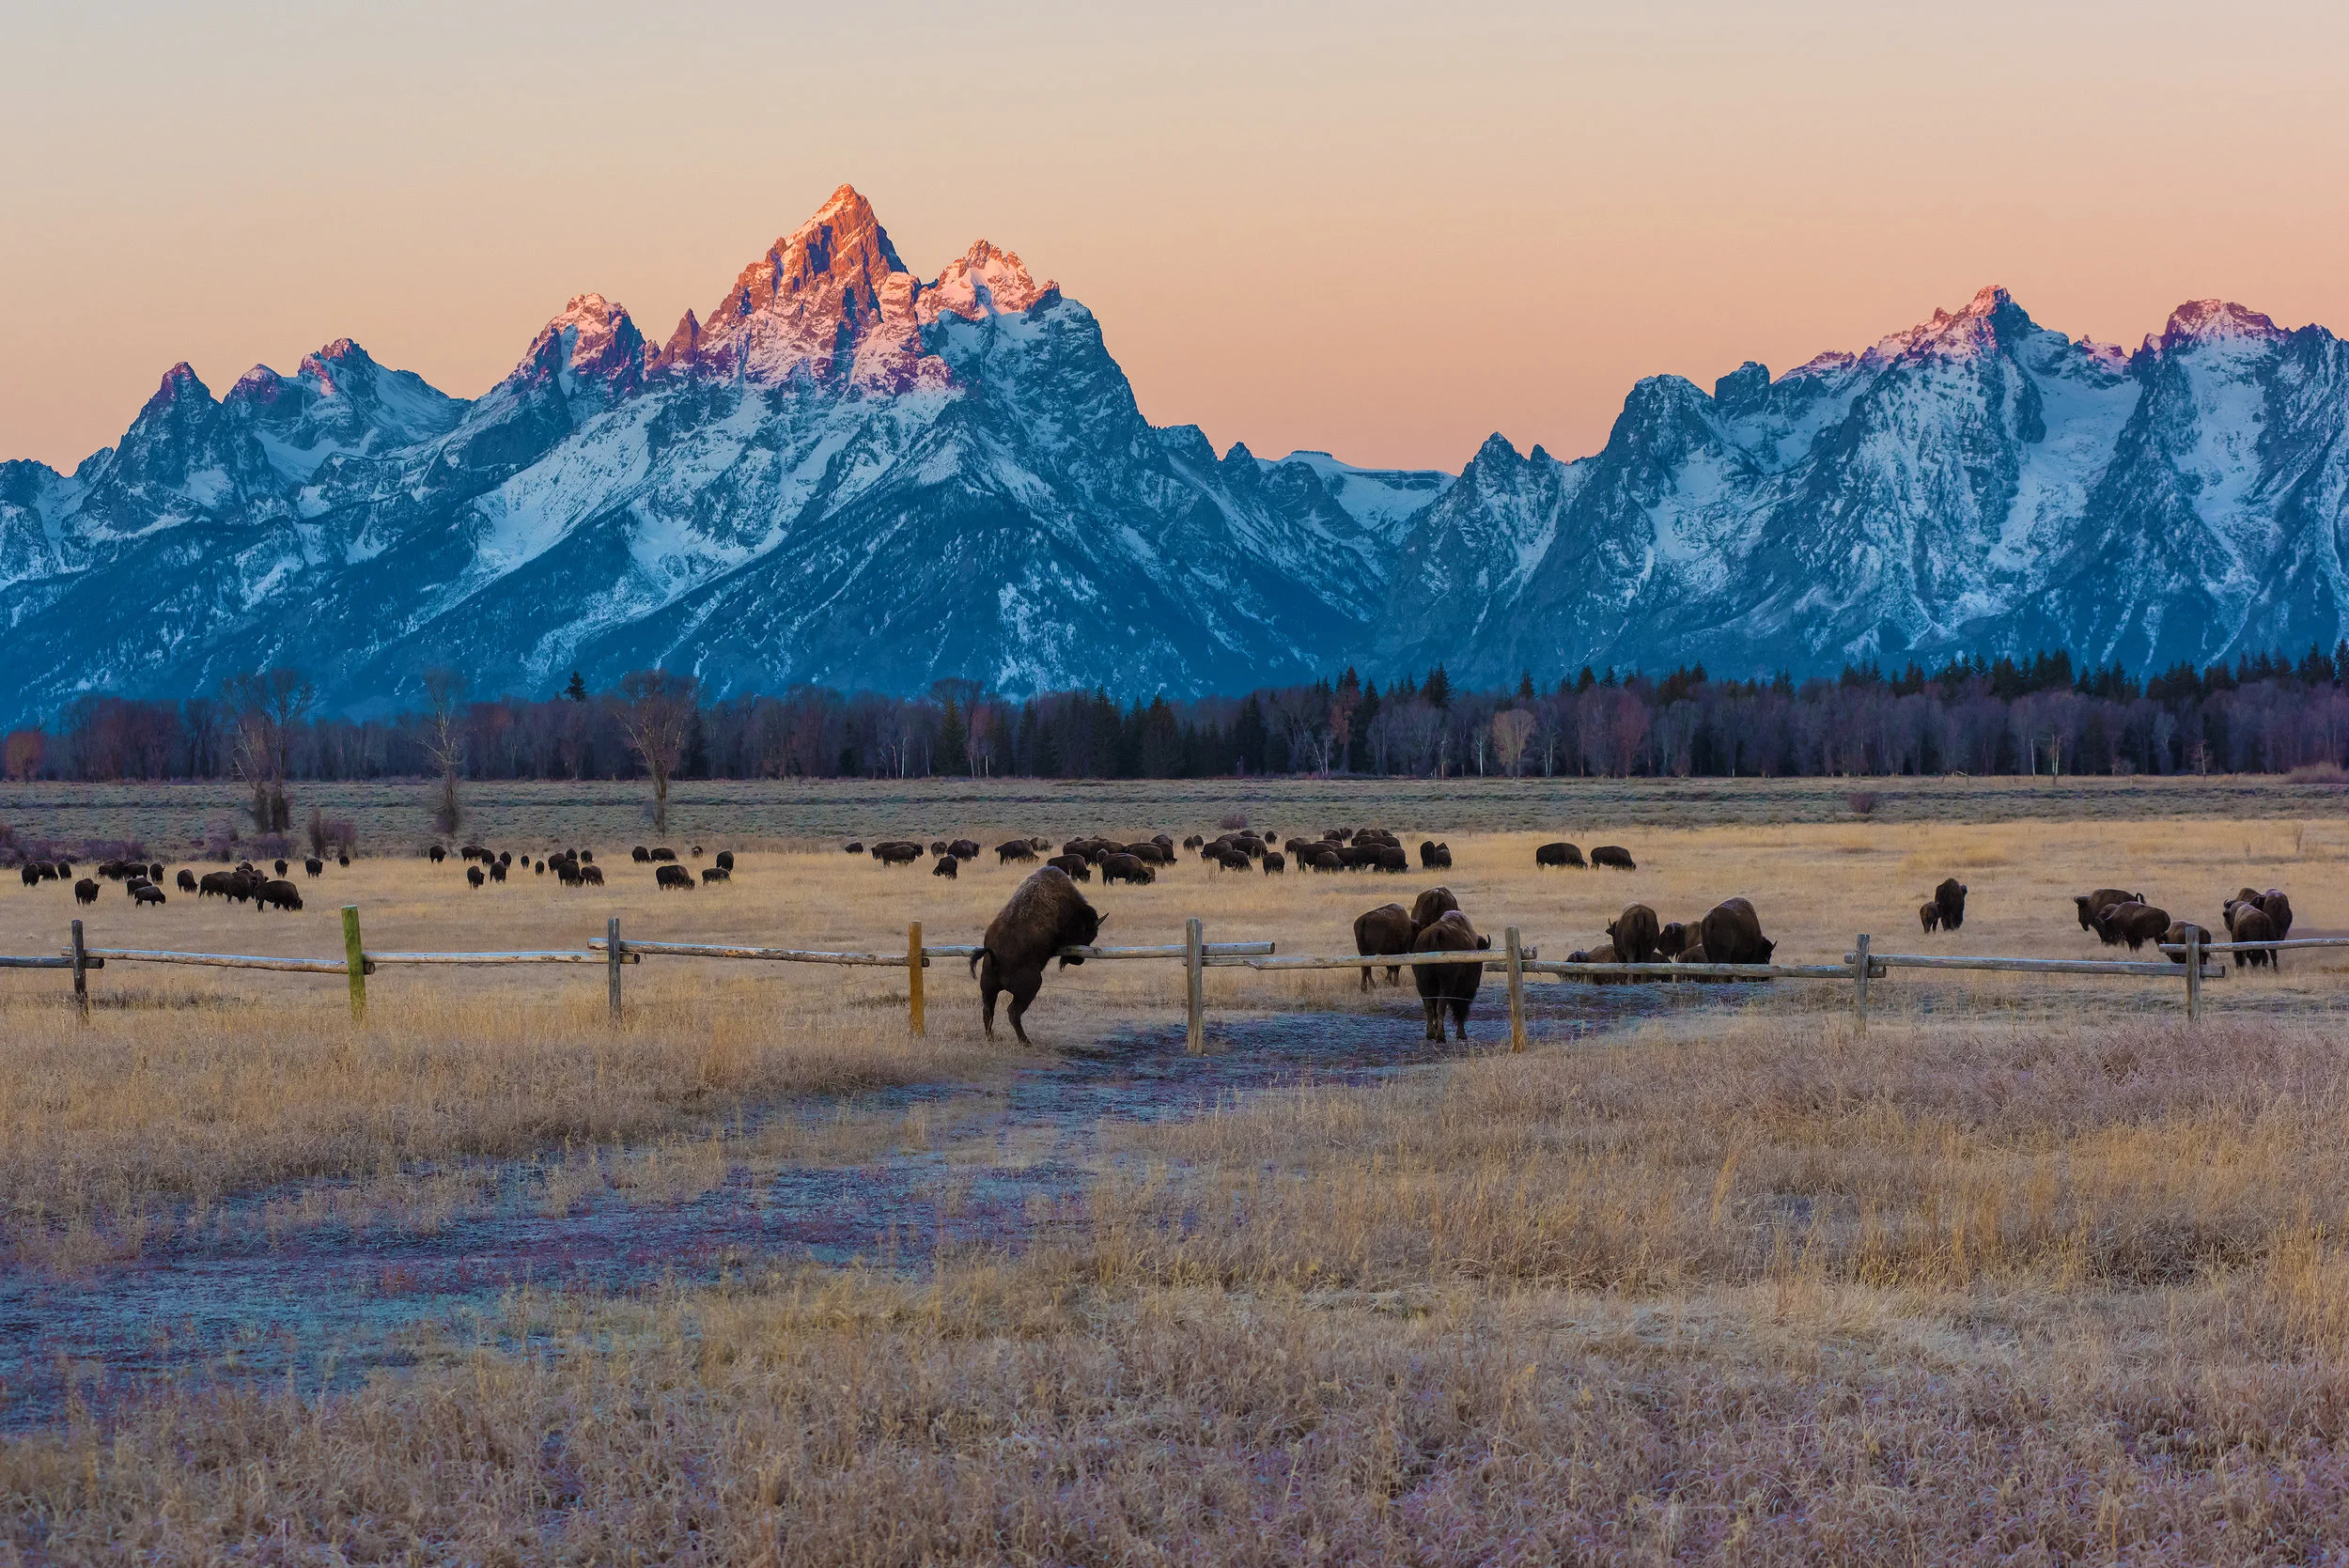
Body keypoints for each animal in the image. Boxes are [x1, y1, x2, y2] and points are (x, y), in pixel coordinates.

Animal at [971, 866, 1104, 1044]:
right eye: (1090, 934)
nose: (1079, 961)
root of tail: (995, 958)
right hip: (1030, 987)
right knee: (1013, 1012)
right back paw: (1026, 1041)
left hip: (988, 988)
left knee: (988, 1011)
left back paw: (991, 1038)